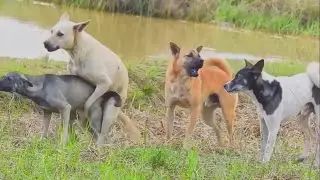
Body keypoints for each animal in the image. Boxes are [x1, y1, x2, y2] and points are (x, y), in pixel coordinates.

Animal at [43, 12, 141, 145]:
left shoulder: (103, 84)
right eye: (51, 31)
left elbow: (87, 104)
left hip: (110, 111)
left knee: (102, 133)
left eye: (60, 34)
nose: (45, 43)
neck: (77, 48)